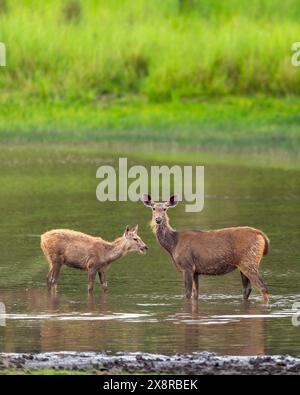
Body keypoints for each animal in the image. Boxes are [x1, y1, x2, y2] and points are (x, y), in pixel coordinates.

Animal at [142, 194, 270, 304]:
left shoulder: (187, 266)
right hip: (243, 265)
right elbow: (195, 294)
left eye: (165, 209)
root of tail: (262, 235)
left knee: (262, 287)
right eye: (153, 208)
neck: (173, 244)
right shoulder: (195, 271)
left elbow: (187, 294)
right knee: (247, 289)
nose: (158, 219)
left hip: (249, 260)